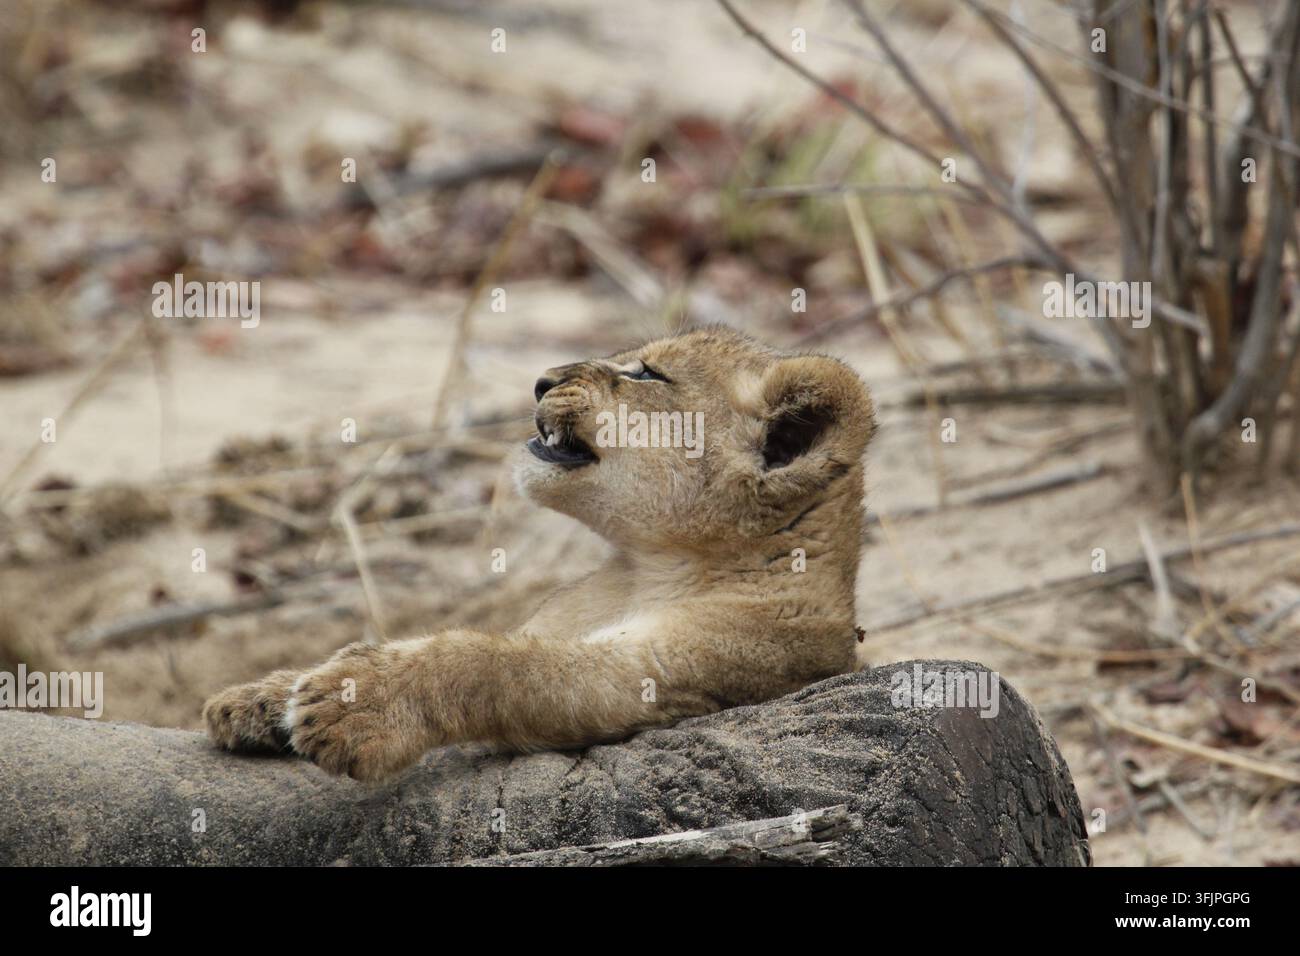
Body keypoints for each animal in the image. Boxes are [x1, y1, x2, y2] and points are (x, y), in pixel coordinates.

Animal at [203, 326, 877, 782]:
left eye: (648, 375)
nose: (542, 382)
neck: (650, 566)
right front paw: (261, 697)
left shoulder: (671, 674)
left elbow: (496, 664)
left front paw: (354, 702)